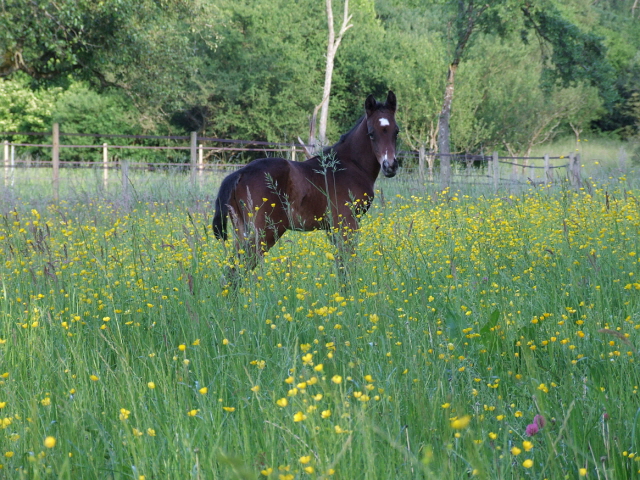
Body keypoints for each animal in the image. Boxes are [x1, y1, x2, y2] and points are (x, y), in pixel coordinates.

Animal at [212, 90, 398, 282]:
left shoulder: (333, 227)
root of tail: (240, 173)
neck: (349, 165)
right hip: (265, 231)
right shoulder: (348, 222)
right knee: (236, 271)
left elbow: (341, 265)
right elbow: (347, 265)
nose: (390, 166)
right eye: (371, 133)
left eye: (396, 132)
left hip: (242, 231)